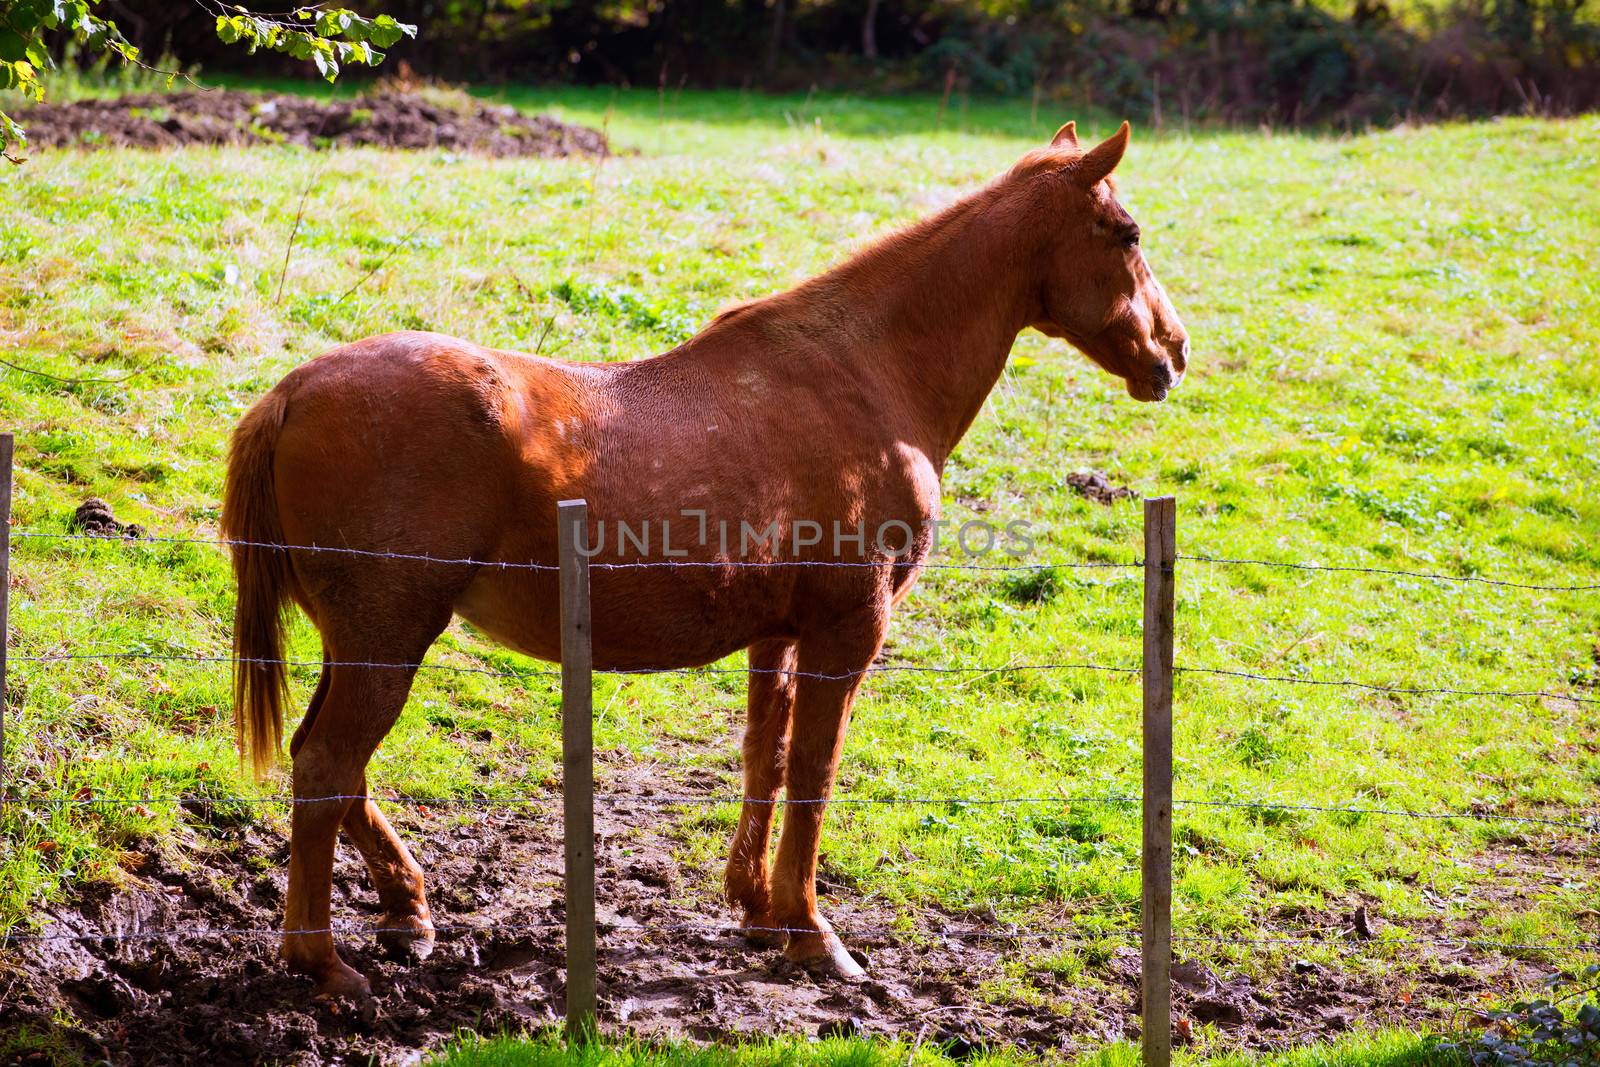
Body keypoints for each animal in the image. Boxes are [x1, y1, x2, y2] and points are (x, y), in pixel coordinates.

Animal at [225, 120, 1190, 998]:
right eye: (1128, 233)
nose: (1173, 351)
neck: (864, 373)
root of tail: (293, 391)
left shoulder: (779, 636)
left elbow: (766, 758)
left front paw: (760, 911)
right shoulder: (848, 633)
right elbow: (813, 774)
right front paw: (812, 933)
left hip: (364, 643)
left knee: (329, 765)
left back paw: (406, 909)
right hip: (387, 642)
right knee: (326, 767)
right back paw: (323, 961)